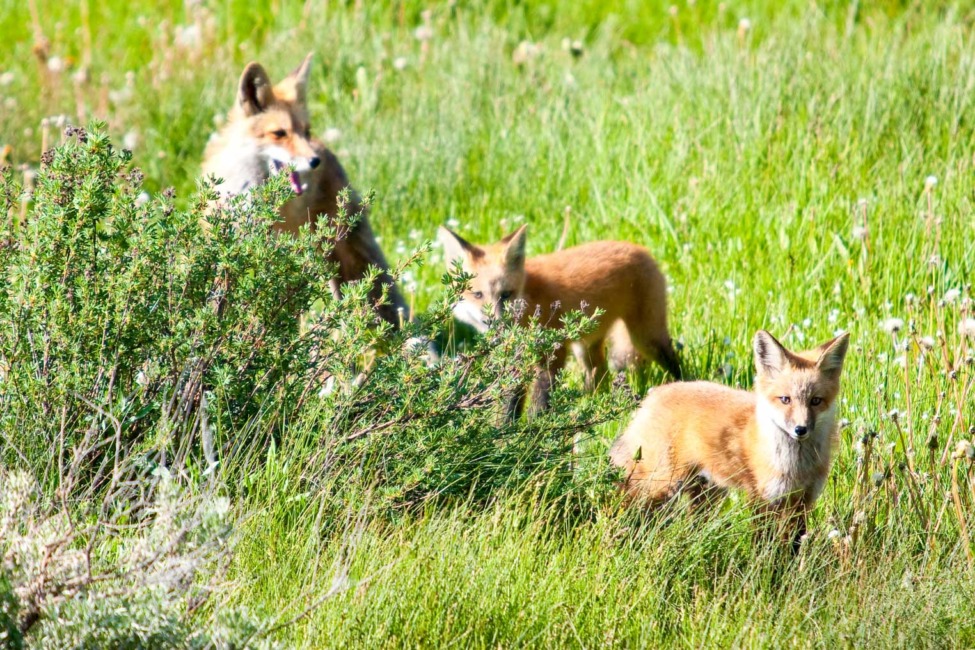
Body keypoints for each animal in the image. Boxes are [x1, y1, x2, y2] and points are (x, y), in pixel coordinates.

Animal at [438, 225, 681, 417]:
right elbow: (508, 407)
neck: (529, 300)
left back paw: (680, 386)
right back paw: (590, 402)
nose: (496, 324)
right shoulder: (516, 363)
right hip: (587, 347)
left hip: (646, 337)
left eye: (505, 294)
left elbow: (540, 402)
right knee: (599, 376)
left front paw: (534, 432)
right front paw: (505, 434)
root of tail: (639, 248)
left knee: (673, 360)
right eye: (477, 295)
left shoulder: (553, 354)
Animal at [609, 330, 850, 551]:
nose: (800, 430)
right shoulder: (762, 498)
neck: (797, 466)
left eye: (816, 401)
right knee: (627, 503)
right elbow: (764, 544)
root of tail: (653, 394)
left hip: (706, 495)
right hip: (661, 484)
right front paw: (766, 568)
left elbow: (795, 544)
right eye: (785, 399)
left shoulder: (803, 500)